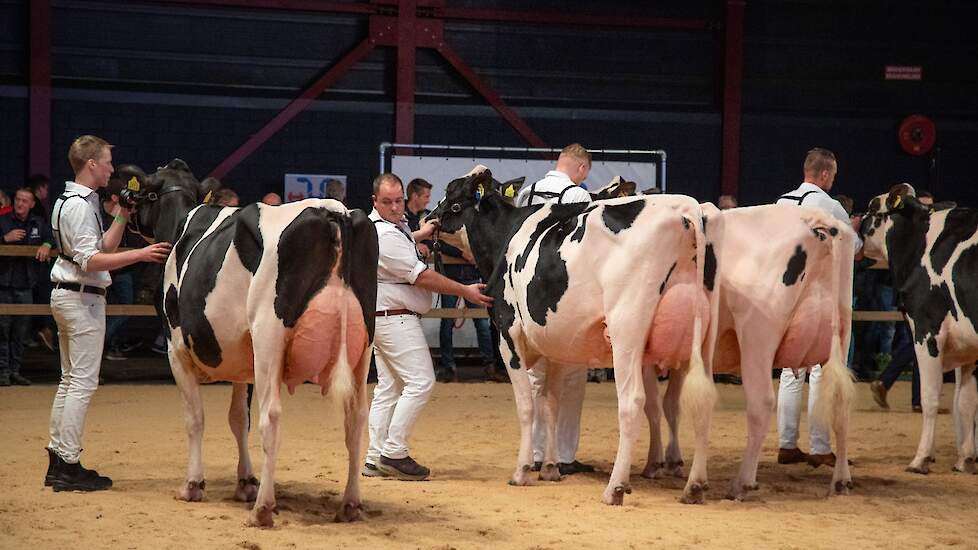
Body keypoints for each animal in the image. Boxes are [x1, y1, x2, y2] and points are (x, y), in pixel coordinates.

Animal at [428, 166, 716, 506]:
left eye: (451, 193)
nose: (426, 218)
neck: (506, 236)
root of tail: (683, 207)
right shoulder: (556, 344)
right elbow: (550, 404)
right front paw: (551, 468)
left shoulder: (508, 335)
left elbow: (527, 406)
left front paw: (522, 470)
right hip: (704, 335)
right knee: (701, 399)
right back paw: (694, 485)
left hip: (627, 330)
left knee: (633, 402)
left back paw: (615, 488)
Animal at [860, 184, 976, 474]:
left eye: (871, 207)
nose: (855, 222)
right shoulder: (968, 348)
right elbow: (967, 402)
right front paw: (965, 458)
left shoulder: (927, 331)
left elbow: (931, 397)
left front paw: (921, 458)